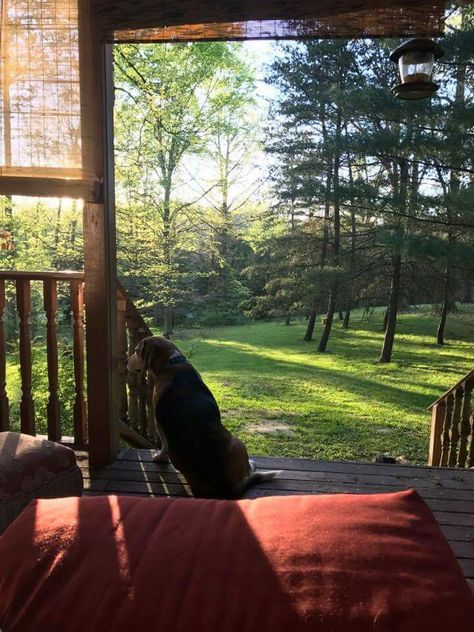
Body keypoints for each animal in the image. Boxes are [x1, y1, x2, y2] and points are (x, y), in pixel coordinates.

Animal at [128, 336, 280, 498]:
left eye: (136, 351)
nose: (125, 361)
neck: (172, 363)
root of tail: (230, 487)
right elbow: (164, 445)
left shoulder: (159, 423)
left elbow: (164, 444)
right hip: (239, 443)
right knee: (248, 470)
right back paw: (252, 464)